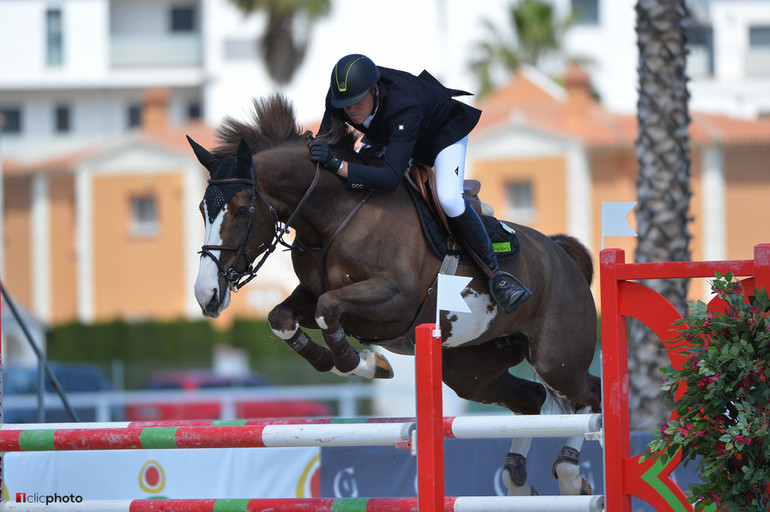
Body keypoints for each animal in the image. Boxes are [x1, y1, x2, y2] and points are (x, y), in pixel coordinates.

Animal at [186, 94, 600, 494]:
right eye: (203, 209)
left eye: (242, 210)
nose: (207, 295)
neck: (336, 216)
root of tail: (561, 253)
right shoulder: (311, 295)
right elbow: (282, 317)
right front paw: (341, 360)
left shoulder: (395, 299)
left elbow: (328, 308)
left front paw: (364, 362)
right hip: (471, 369)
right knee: (531, 399)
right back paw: (517, 482)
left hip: (557, 360)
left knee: (590, 397)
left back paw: (569, 475)